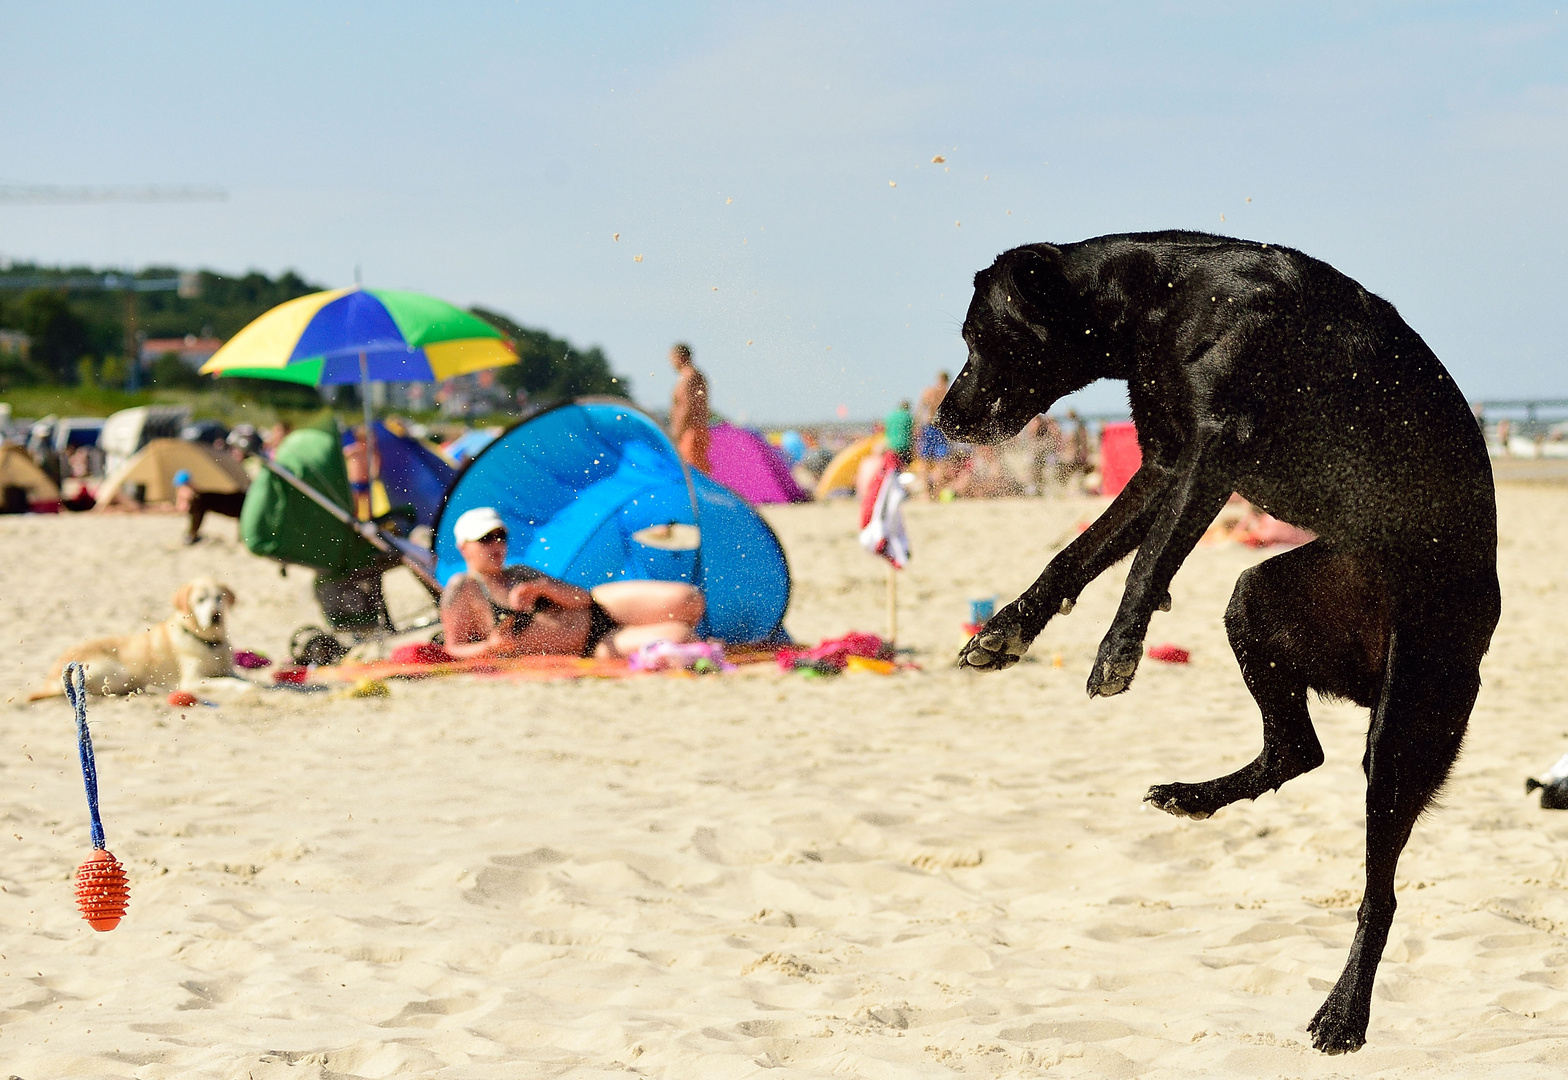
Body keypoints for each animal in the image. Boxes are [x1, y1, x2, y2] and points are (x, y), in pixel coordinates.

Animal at [29, 573, 254, 699]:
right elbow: (230, 682)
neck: (209, 642)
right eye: (200, 600)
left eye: (219, 597)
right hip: (118, 673)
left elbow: (241, 677)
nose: (215, 616)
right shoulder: (193, 680)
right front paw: (245, 688)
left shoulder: (226, 669)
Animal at [934, 231, 1499, 1047]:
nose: (944, 419)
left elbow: (1146, 563)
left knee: (1380, 889)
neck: (1157, 299)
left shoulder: (1211, 454)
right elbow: (1079, 553)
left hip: (1405, 723)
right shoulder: (1166, 461)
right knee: (1298, 748)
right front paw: (1008, 629)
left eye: (981, 338)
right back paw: (1194, 796)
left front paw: (1118, 648)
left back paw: (1345, 1012)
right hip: (1259, 602)